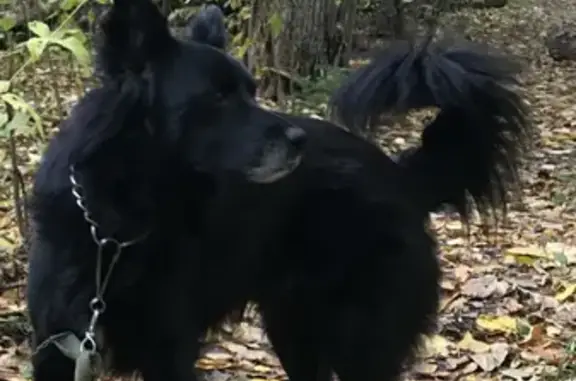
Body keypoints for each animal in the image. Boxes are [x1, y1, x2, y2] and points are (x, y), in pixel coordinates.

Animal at [27, 0, 532, 380]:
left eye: (251, 90)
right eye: (218, 98)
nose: (298, 140)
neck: (116, 229)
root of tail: (398, 175)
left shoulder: (169, 349)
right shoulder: (57, 350)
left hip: (357, 340)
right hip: (295, 330)